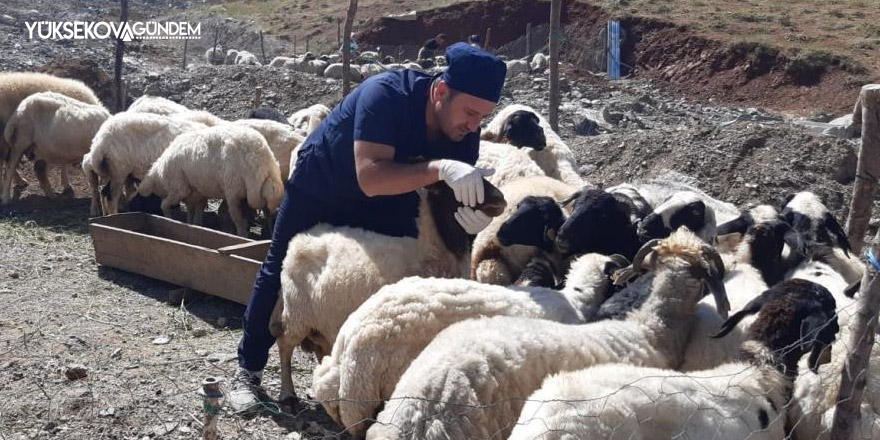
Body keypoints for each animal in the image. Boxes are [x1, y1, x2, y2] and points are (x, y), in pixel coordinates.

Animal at [0, 72, 100, 203]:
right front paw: (66, 185)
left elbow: (63, 163)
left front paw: (65, 184)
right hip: (15, 141)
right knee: (9, 164)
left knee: (9, 163)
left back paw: (20, 182)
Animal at [137, 124, 286, 237]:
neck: (161, 172)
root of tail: (263, 163)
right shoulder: (197, 191)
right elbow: (194, 211)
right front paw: (192, 224)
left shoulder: (180, 188)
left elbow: (165, 205)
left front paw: (168, 219)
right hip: (264, 191)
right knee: (268, 213)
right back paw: (268, 232)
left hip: (233, 189)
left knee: (238, 218)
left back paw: (242, 235)